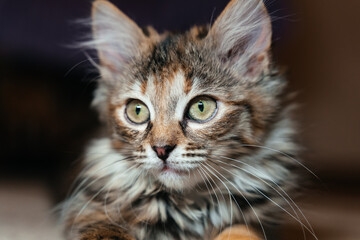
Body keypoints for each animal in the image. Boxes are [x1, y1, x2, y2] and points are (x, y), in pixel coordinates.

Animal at [61, 0, 304, 239]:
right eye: (137, 111)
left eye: (201, 107)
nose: (161, 150)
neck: (191, 205)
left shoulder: (261, 224)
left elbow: (240, 231)